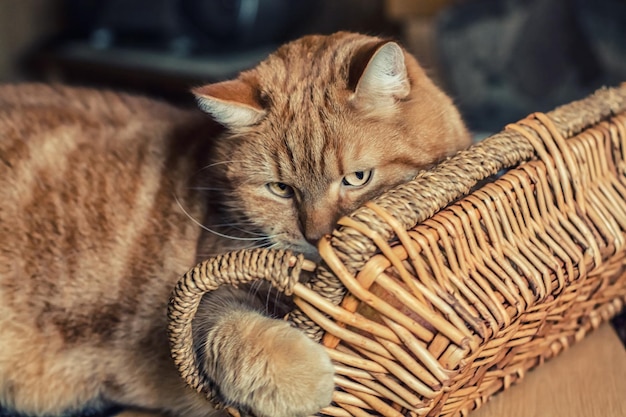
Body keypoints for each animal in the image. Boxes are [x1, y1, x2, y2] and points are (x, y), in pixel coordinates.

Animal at [0, 32, 468, 416]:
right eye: (280, 189)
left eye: (357, 178)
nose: (317, 237)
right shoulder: (205, 297)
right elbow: (235, 332)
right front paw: (311, 381)